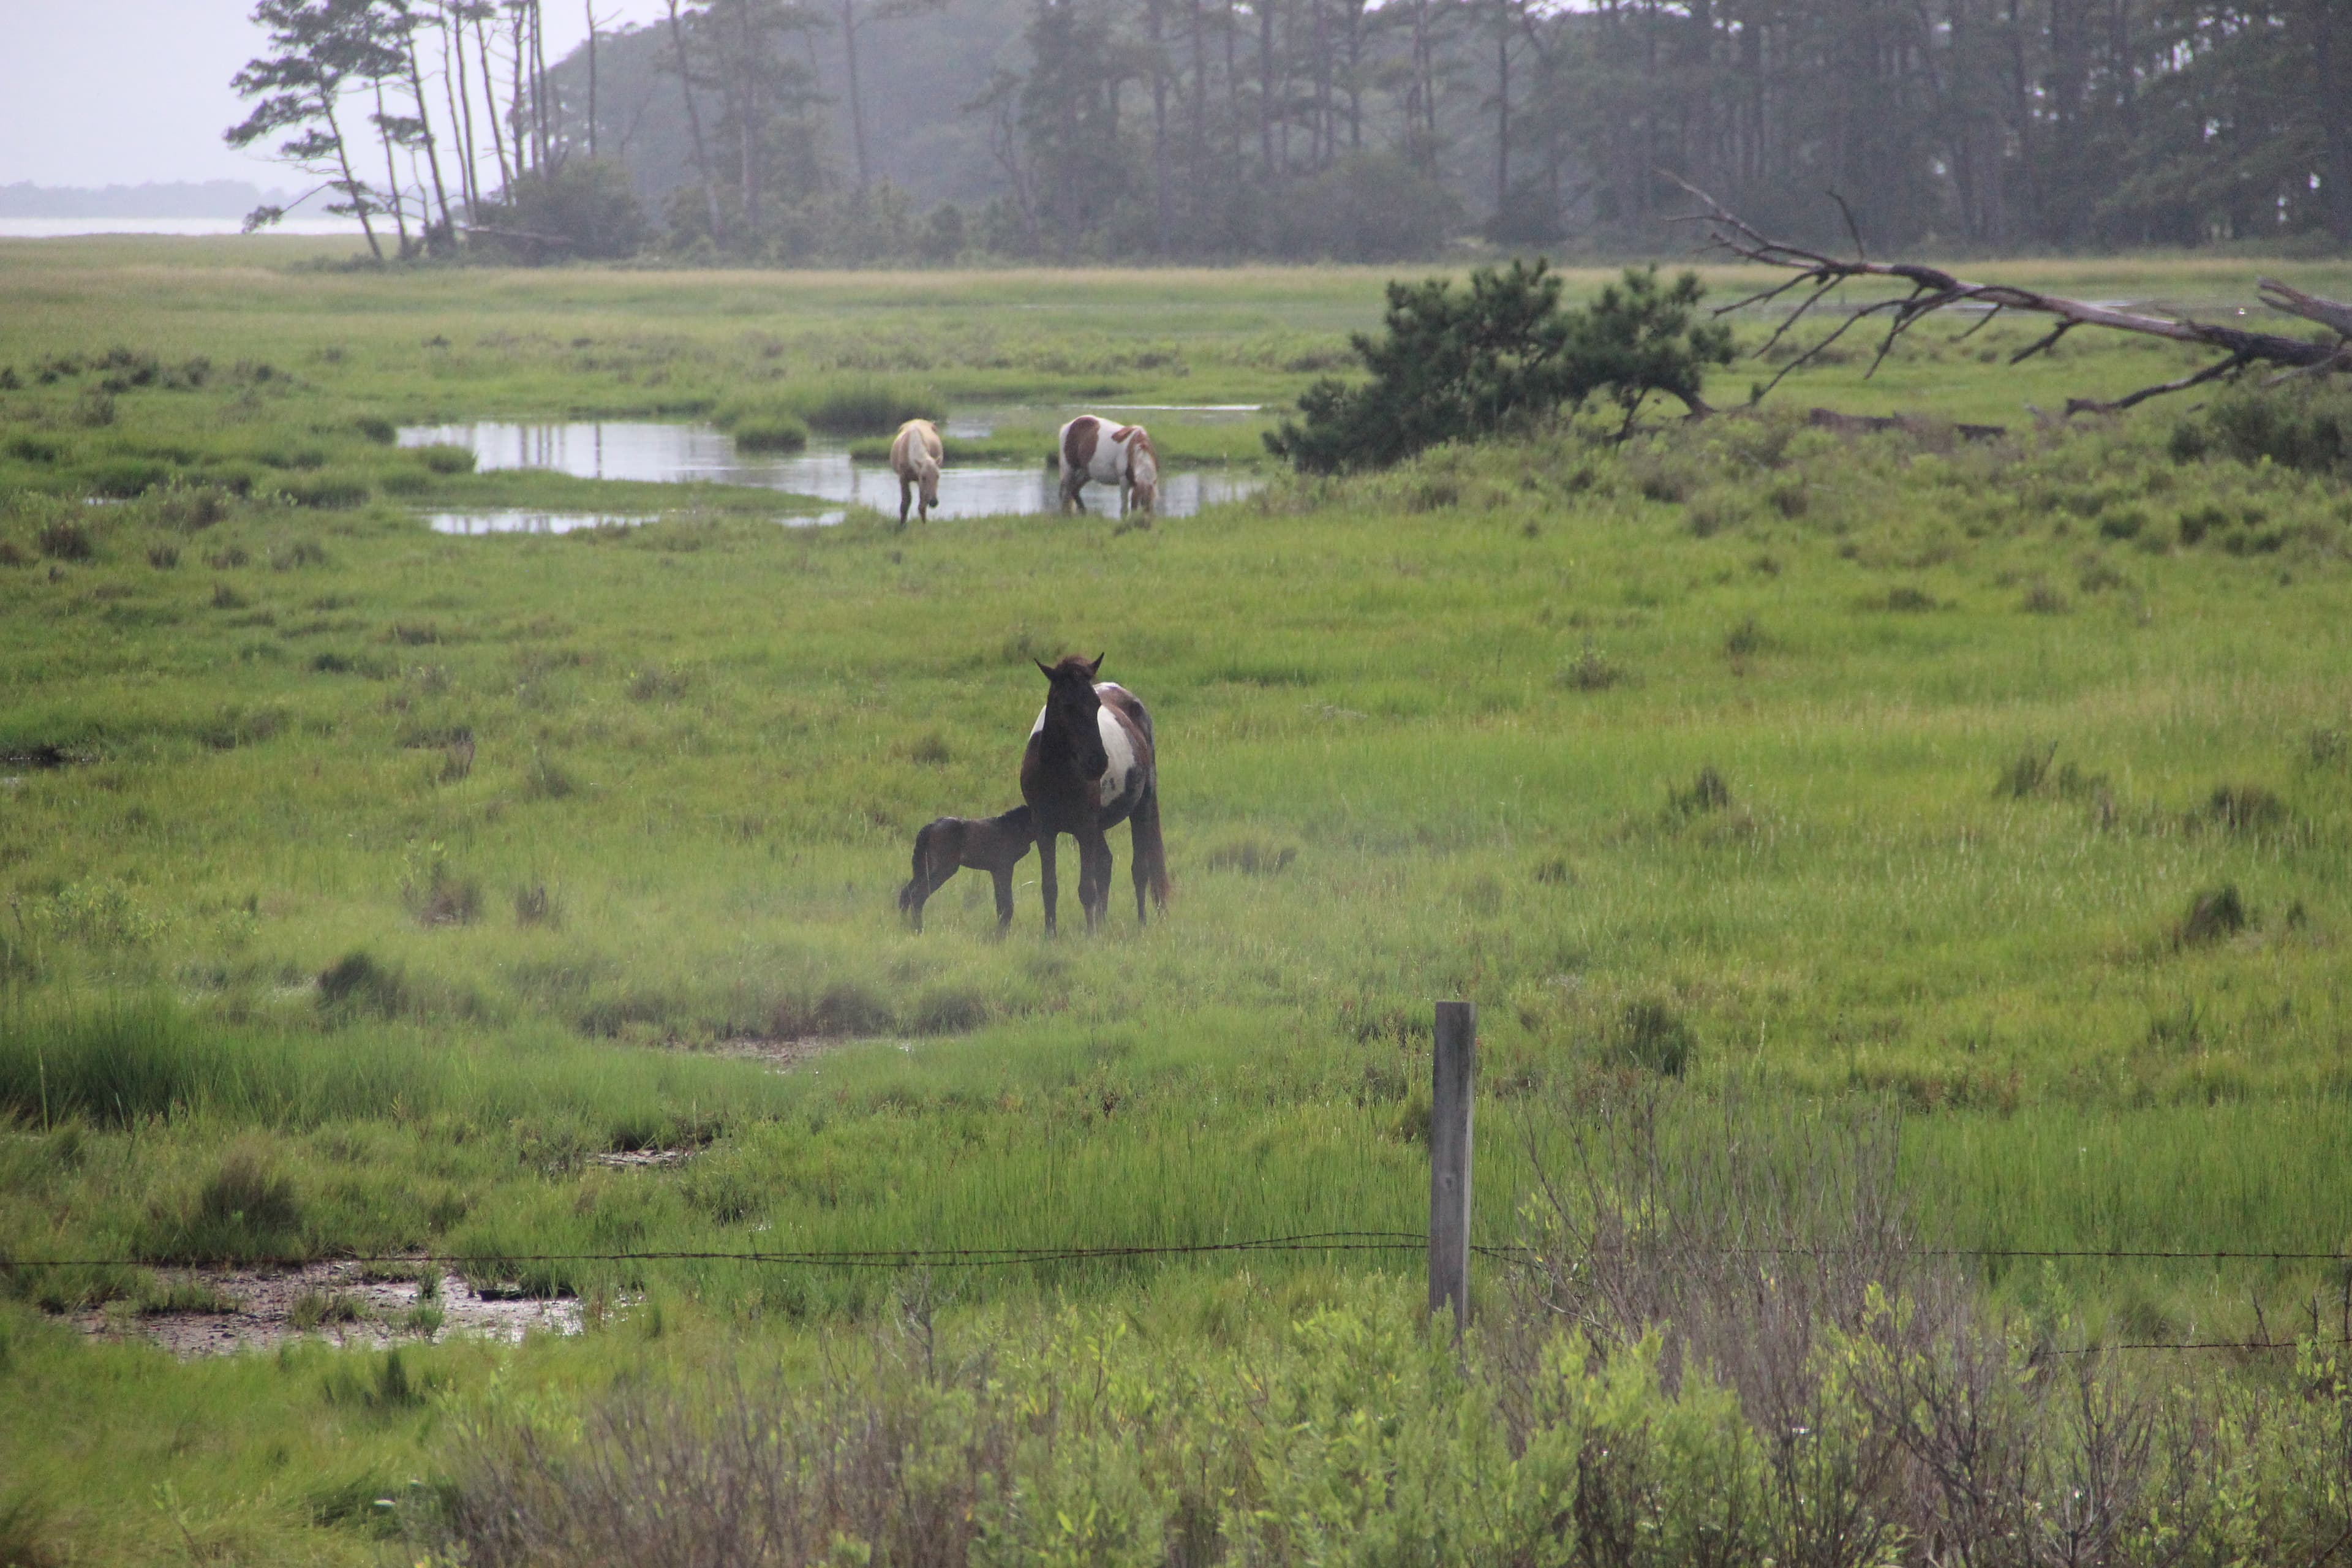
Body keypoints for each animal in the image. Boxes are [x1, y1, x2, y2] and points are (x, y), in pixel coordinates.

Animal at [889, 418, 943, 524]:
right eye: (924, 477)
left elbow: (922, 506)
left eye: (938, 476)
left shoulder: (919, 480)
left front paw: (924, 526)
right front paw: (902, 525)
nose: (934, 502)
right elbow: (905, 504)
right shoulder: (904, 478)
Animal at [898, 805, 1034, 933]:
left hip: (925, 868)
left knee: (906, 893)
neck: (1014, 827)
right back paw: (919, 929)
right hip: (945, 869)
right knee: (917, 896)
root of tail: (930, 826)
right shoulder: (1004, 867)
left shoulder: (995, 870)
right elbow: (1007, 904)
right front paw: (1002, 934)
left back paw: (903, 924)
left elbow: (1001, 903)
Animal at [1019, 654, 1169, 934]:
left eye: (1096, 704)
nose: (1098, 762)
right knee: (1106, 864)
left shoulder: (1085, 828)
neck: (1057, 774)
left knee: (1140, 869)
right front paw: (1051, 935)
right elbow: (1050, 887)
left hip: (1140, 807)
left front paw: (1091, 936)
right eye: (1066, 706)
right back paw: (1104, 919)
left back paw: (1141, 923)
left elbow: (1087, 889)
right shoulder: (1044, 829)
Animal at [1056, 415, 1158, 519]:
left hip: (1086, 473)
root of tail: (1068, 425)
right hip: (1069, 470)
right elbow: (1124, 509)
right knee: (1066, 495)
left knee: (1074, 490)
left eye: (1149, 506)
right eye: (1140, 502)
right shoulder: (1124, 481)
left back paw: (1084, 513)